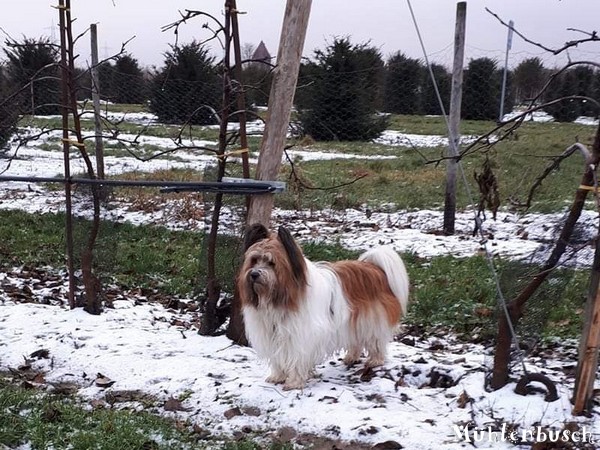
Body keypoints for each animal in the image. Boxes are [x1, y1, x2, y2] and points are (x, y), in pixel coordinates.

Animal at [237, 225, 410, 390]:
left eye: (272, 263)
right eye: (254, 260)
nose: (254, 274)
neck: (276, 299)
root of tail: (375, 268)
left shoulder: (300, 336)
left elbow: (297, 358)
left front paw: (294, 382)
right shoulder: (273, 335)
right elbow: (278, 358)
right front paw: (278, 376)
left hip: (372, 320)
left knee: (375, 340)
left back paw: (375, 360)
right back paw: (351, 357)